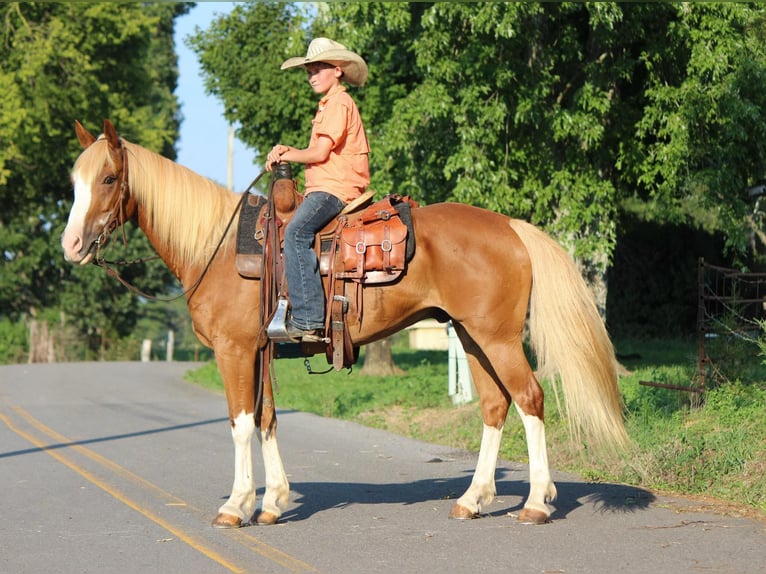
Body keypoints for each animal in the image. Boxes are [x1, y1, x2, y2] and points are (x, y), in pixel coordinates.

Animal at [61, 119, 629, 529]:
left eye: (108, 179)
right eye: (74, 181)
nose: (70, 245)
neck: (217, 248)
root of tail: (510, 226)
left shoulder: (234, 350)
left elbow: (241, 423)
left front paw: (236, 506)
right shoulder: (260, 350)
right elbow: (267, 420)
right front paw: (273, 502)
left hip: (498, 338)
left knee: (530, 399)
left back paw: (535, 503)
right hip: (471, 336)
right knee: (494, 405)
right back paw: (473, 499)